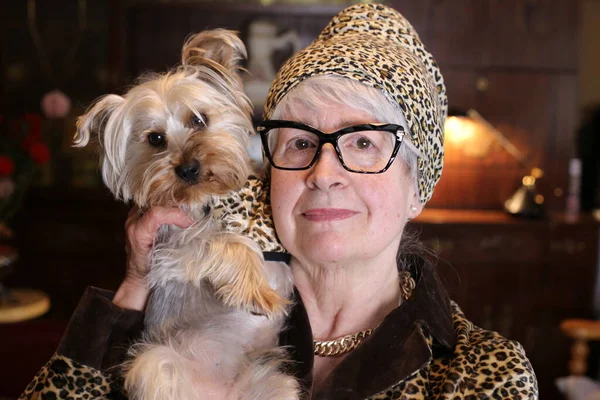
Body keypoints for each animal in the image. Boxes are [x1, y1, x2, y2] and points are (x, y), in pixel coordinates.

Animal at [74, 29, 298, 398]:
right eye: (155, 139)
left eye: (199, 120)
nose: (188, 169)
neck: (212, 196)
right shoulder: (170, 243)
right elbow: (227, 242)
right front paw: (258, 290)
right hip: (155, 361)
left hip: (277, 384)